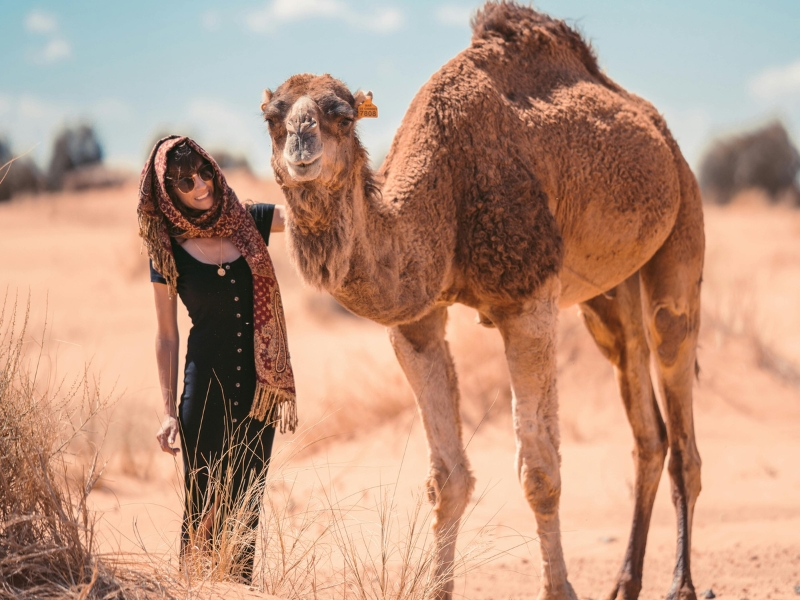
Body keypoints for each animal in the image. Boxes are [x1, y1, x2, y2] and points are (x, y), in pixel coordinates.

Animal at [259, 3, 704, 599]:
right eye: (272, 116)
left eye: (343, 114)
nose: (302, 145)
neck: (443, 194)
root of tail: (659, 131)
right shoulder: (417, 321)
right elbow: (447, 478)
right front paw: (437, 589)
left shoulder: (528, 300)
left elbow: (540, 472)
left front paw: (558, 589)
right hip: (609, 295)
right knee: (646, 425)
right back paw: (625, 583)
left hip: (682, 231)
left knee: (678, 402)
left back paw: (680, 584)